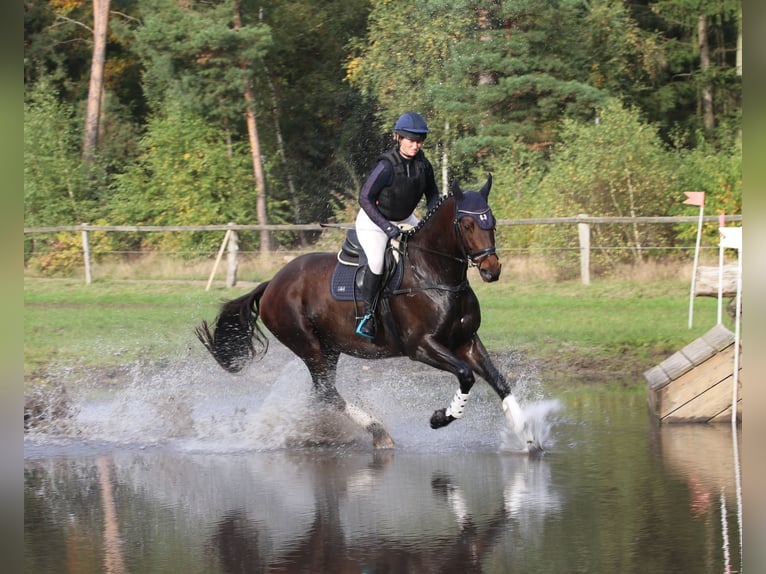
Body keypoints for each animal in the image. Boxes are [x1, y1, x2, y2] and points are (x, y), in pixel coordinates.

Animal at [195, 173, 536, 452]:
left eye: (492, 220)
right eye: (467, 224)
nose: (492, 270)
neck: (436, 275)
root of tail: (272, 284)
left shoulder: (466, 341)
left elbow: (499, 381)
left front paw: (526, 435)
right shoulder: (421, 346)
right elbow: (466, 376)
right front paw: (441, 417)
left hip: (329, 348)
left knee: (321, 393)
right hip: (307, 344)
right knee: (327, 393)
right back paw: (376, 430)